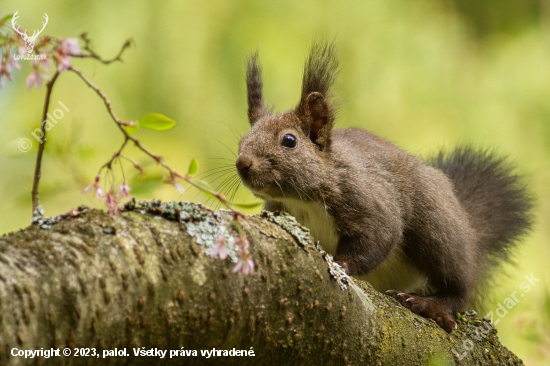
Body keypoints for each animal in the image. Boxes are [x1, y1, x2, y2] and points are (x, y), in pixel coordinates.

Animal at [236, 41, 536, 334]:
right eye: (243, 139)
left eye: (289, 141)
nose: (242, 163)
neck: (303, 200)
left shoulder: (366, 198)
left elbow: (377, 236)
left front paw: (341, 264)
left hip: (437, 228)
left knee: (459, 284)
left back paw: (432, 305)